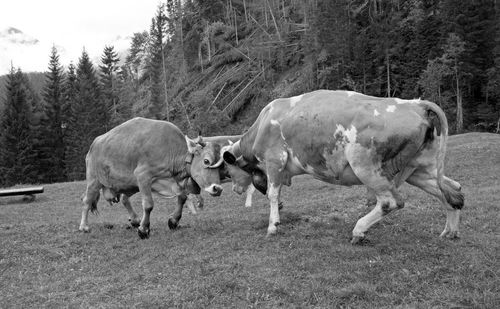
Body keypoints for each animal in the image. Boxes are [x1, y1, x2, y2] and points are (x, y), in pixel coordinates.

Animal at [80, 116, 225, 237]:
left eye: (221, 164)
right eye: (206, 161)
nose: (217, 189)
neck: (170, 150)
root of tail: (94, 143)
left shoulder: (171, 181)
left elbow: (183, 197)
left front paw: (173, 221)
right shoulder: (143, 176)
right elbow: (148, 204)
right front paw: (144, 230)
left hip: (130, 184)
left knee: (124, 199)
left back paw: (134, 220)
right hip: (94, 179)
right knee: (87, 200)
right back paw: (85, 226)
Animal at [223, 89, 464, 243]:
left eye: (229, 172)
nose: (234, 189)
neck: (264, 122)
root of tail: (415, 103)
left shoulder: (275, 160)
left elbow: (272, 195)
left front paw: (273, 226)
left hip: (365, 165)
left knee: (391, 202)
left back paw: (358, 231)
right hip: (419, 170)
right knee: (453, 193)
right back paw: (449, 232)